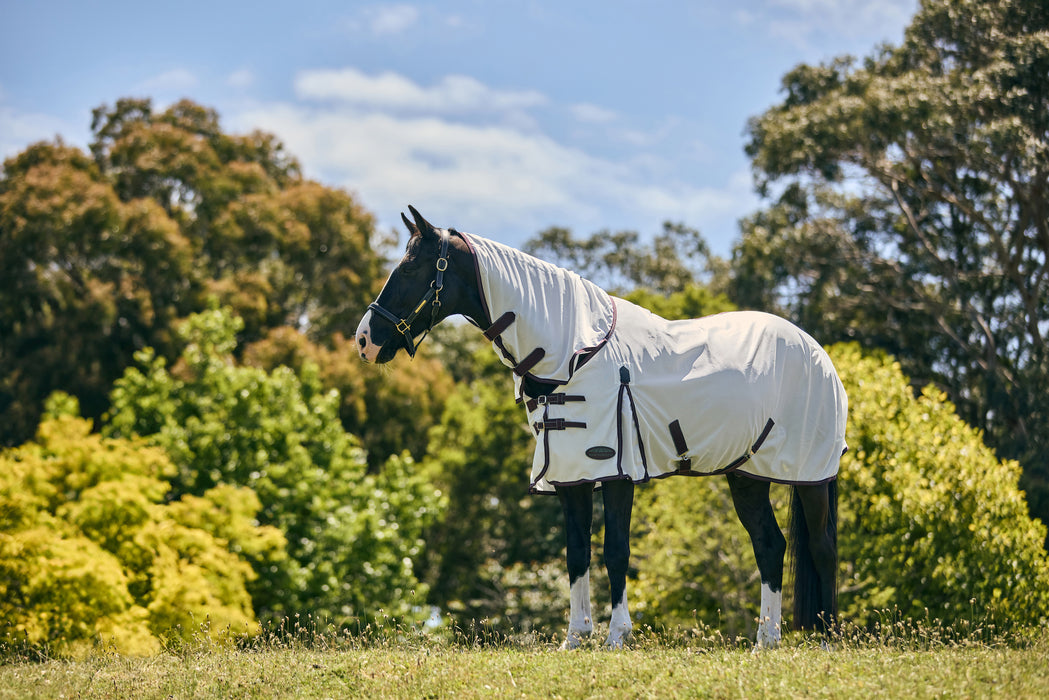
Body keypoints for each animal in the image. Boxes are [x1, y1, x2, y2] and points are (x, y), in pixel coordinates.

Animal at [356, 207, 847, 650]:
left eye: (411, 267)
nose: (364, 340)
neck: (573, 352)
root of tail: (818, 353)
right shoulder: (569, 476)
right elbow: (576, 553)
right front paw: (574, 638)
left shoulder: (616, 472)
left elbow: (615, 551)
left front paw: (616, 637)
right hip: (747, 476)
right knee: (770, 546)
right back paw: (767, 642)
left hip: (810, 476)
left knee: (821, 547)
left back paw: (825, 640)